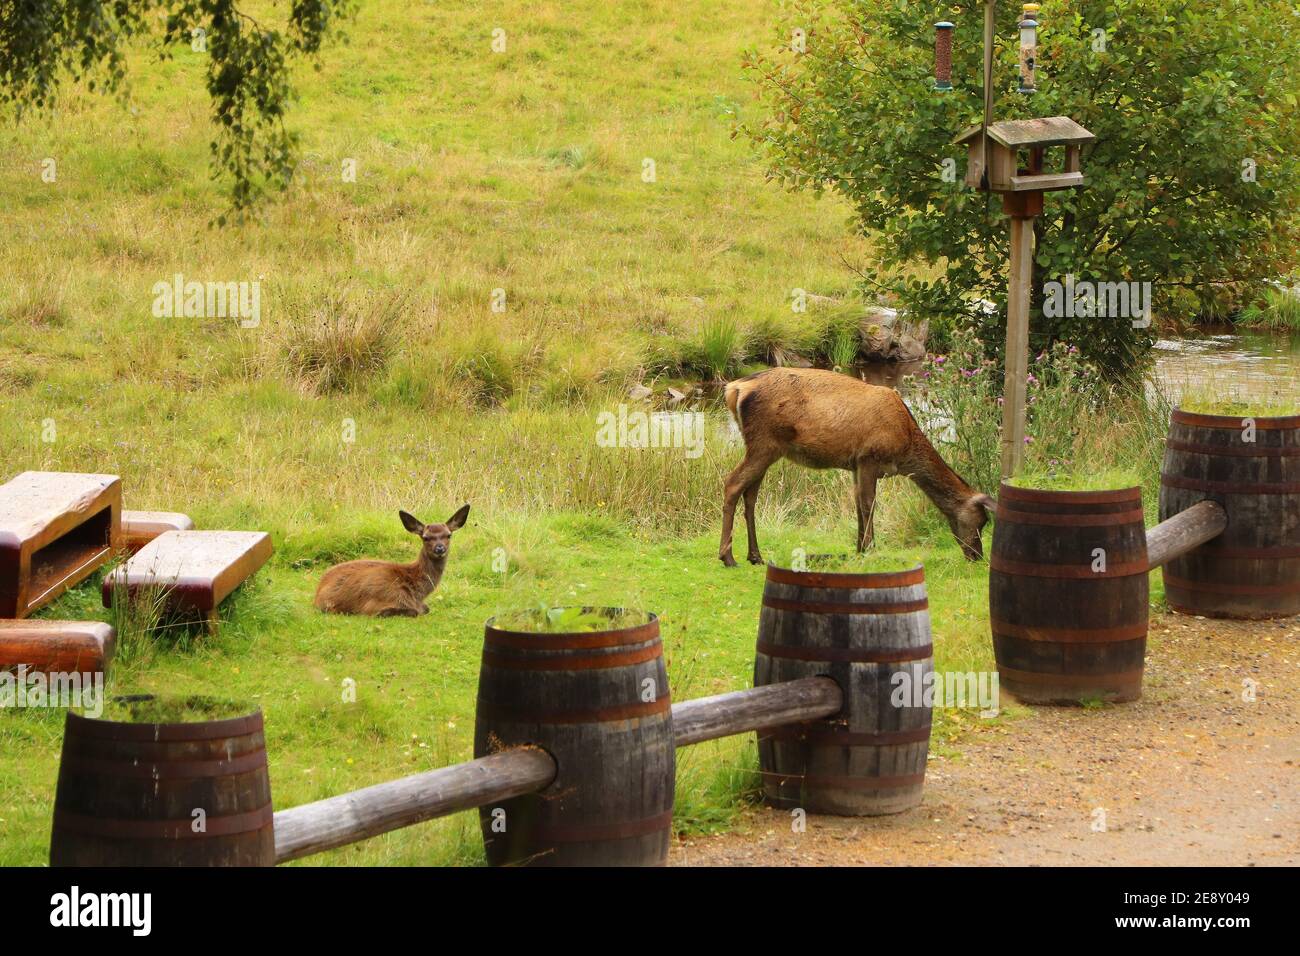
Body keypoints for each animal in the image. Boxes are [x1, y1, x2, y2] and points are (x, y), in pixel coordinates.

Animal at [315, 505, 471, 616]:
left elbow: (426, 608)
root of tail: (318, 590)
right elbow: (414, 611)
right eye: (425, 537)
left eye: (448, 535)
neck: (416, 592)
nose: (440, 548)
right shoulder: (374, 604)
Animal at [719, 368, 995, 566]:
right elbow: (869, 503)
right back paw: (728, 557)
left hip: (763, 448)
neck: (905, 446)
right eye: (981, 522)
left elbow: (857, 503)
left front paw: (859, 549)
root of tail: (735, 388)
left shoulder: (855, 465)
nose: (977, 556)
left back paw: (755, 556)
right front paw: (871, 550)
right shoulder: (869, 456)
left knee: (750, 494)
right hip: (765, 443)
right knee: (732, 484)